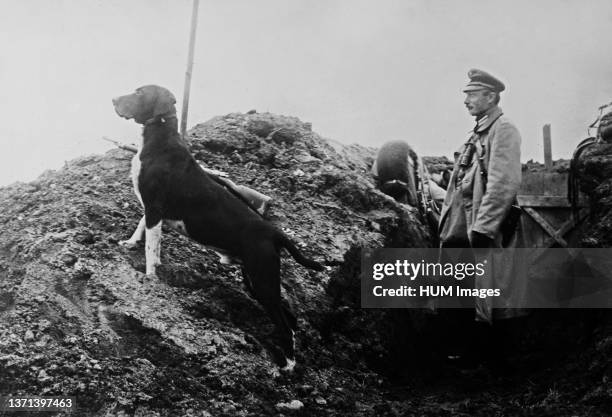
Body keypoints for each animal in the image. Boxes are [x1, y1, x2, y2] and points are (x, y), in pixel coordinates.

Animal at [113, 84, 326, 370]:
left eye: (139, 93)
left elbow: (151, 247)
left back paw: (288, 365)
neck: (159, 139)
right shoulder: (151, 208)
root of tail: (275, 232)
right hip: (256, 280)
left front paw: (149, 276)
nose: (113, 99)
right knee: (290, 319)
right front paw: (130, 243)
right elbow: (142, 229)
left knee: (283, 322)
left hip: (263, 280)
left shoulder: (155, 207)